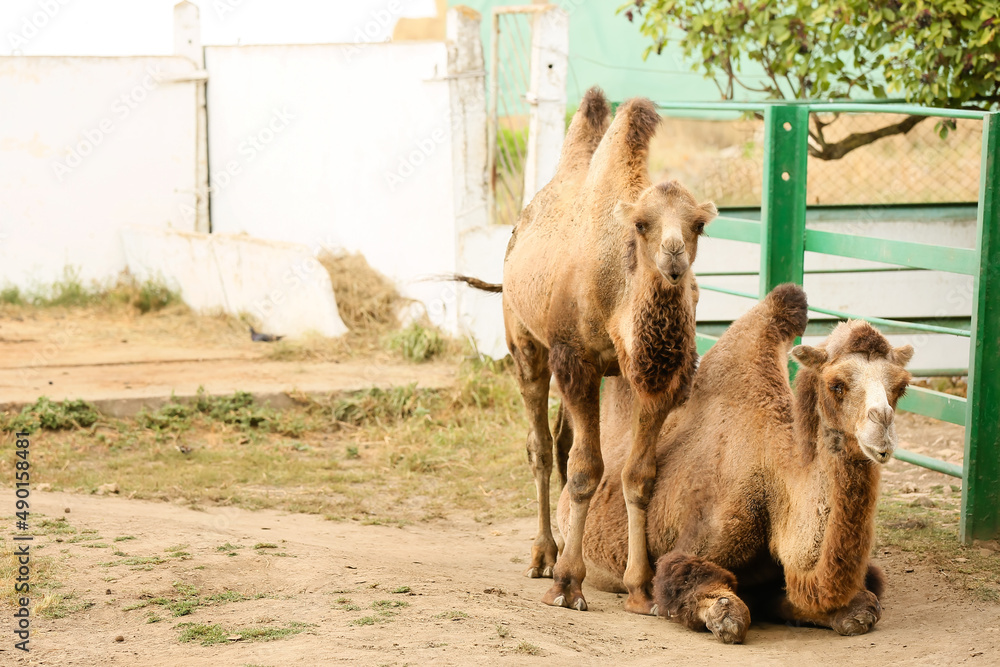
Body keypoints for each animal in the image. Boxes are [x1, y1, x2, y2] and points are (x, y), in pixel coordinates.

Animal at [488, 88, 716, 616]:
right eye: (643, 224)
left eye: (697, 225)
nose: (673, 253)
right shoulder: (574, 360)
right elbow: (587, 470)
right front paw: (568, 584)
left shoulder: (659, 380)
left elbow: (638, 475)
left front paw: (640, 588)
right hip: (524, 339)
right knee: (541, 446)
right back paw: (543, 556)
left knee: (563, 441)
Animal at [564, 284, 916, 644]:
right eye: (837, 385)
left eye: (901, 386)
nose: (882, 427)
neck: (774, 478)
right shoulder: (695, 540)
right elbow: (720, 604)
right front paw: (723, 615)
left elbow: (863, 604)